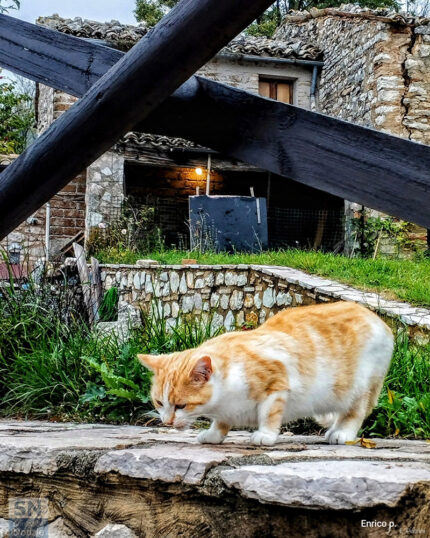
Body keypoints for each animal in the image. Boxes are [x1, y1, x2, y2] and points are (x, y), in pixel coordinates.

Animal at [138, 302, 394, 444]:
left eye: (181, 405)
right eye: (159, 403)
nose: (167, 422)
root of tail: (381, 322)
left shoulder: (276, 383)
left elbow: (269, 415)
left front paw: (265, 435)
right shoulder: (225, 410)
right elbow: (221, 422)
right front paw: (213, 435)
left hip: (359, 387)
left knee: (354, 413)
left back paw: (342, 433)